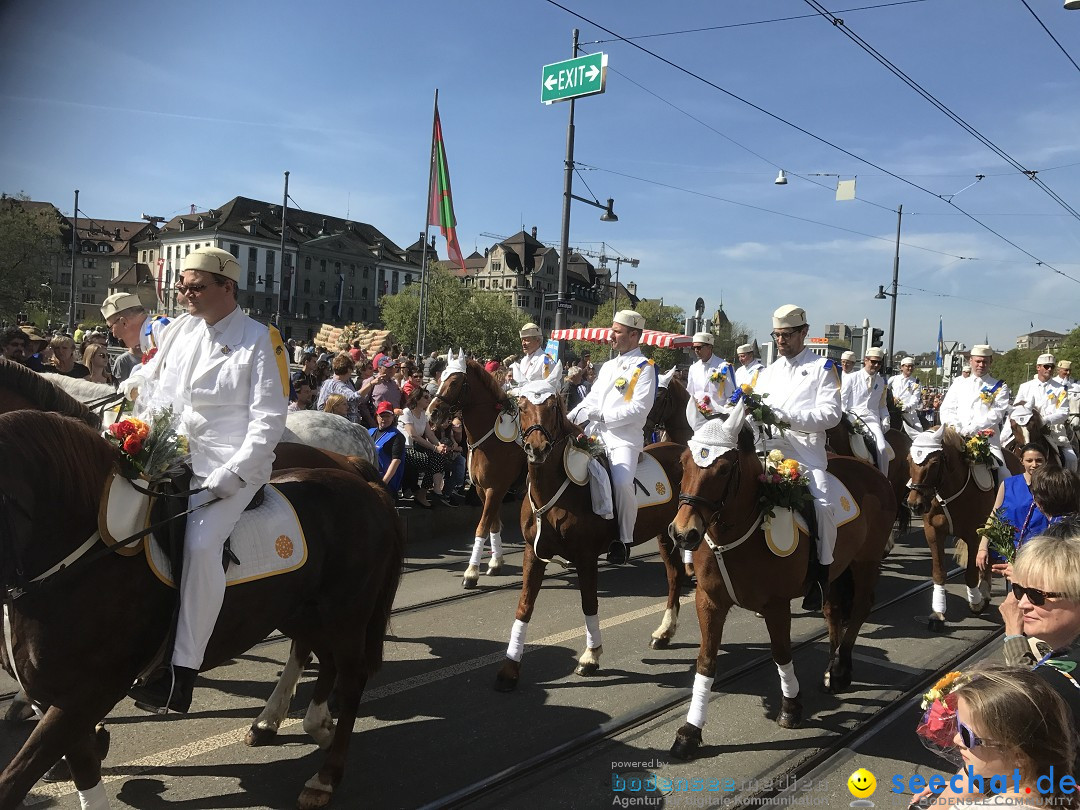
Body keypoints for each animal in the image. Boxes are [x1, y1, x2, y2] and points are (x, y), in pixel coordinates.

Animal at [0, 414, 406, 807]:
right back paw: (305, 724)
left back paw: (324, 776)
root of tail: (362, 481)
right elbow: (77, 767)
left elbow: (15, 781)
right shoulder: (59, 696)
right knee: (320, 655)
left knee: (351, 679)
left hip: (346, 614)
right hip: (300, 611)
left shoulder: (89, 692)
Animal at [429, 354, 531, 591]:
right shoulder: (483, 490)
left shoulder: (496, 489)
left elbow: (482, 527)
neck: (489, 440)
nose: (432, 412)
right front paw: (495, 562)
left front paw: (471, 572)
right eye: (441, 376)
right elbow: (493, 524)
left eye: (454, 382)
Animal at [492, 367, 686, 691]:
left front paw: (591, 656)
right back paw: (664, 632)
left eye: (553, 406)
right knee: (674, 575)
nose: (537, 448)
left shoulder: (585, 557)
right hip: (666, 535)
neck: (557, 489)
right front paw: (509, 668)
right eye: (521, 406)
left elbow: (589, 603)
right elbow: (524, 607)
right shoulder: (534, 554)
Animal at [665, 401, 894, 760]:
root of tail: (870, 470)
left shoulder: (776, 605)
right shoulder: (709, 601)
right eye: (683, 462)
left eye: (724, 469)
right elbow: (706, 662)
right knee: (833, 610)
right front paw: (690, 731)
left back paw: (841, 669)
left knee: (859, 608)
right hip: (837, 569)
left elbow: (781, 652)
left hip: (865, 562)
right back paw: (833, 669)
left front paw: (790, 707)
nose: (683, 533)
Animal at [902, 425, 1019, 635]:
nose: (914, 505)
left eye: (934, 462)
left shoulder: (974, 535)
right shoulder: (933, 533)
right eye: (909, 459)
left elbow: (971, 572)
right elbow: (939, 572)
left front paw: (976, 603)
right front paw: (938, 614)